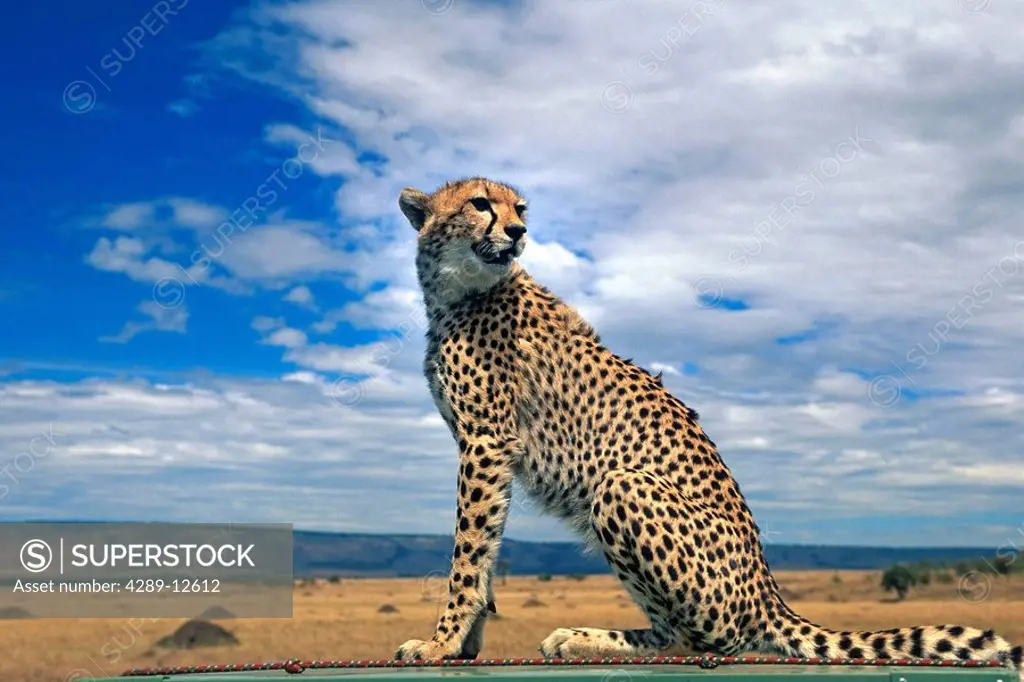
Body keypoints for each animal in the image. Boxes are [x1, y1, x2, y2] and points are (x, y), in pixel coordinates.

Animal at [389, 176, 1015, 667]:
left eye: (520, 208)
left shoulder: (487, 442)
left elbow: (467, 554)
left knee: (708, 639)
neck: (457, 290)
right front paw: (465, 644)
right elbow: (485, 548)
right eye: (480, 204)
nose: (519, 232)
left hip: (622, 487)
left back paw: (590, 637)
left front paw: (442, 643)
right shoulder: (485, 448)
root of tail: (768, 591)